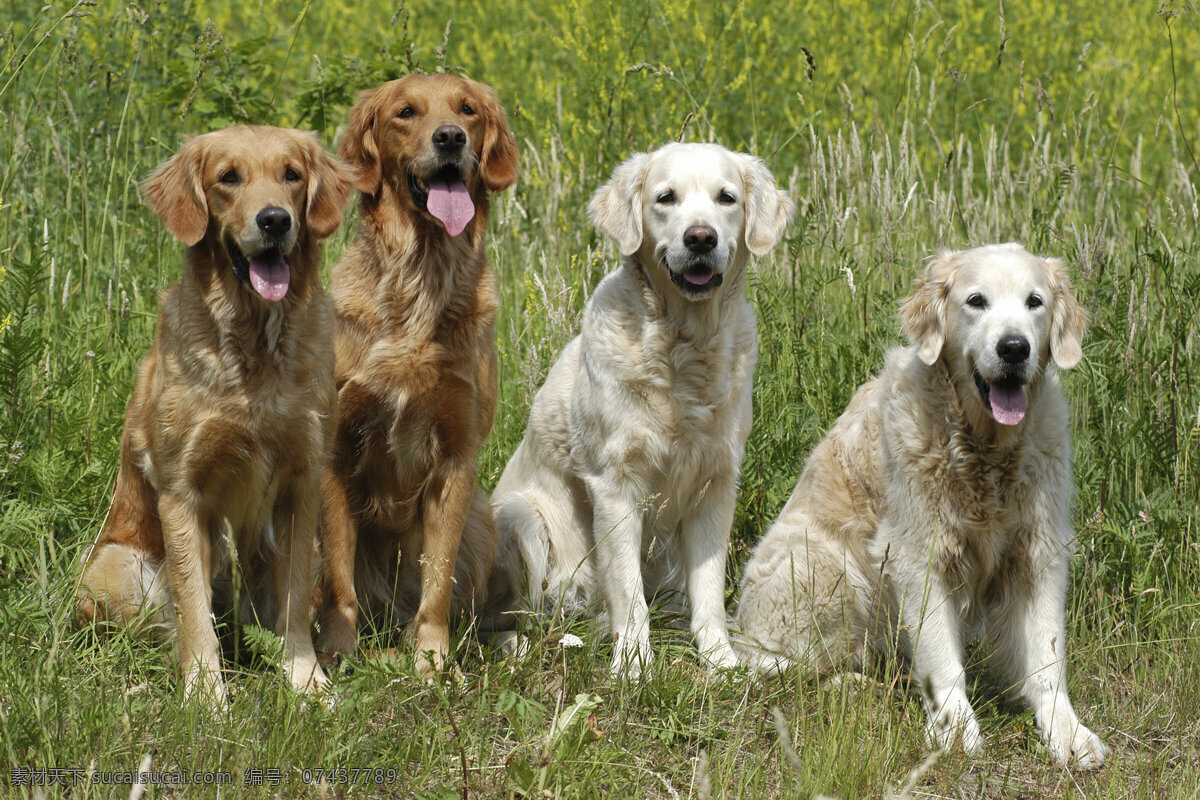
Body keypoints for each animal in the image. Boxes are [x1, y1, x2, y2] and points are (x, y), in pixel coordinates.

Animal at [75, 122, 352, 705]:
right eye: (228, 177)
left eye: (291, 174)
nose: (275, 220)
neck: (255, 345)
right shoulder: (182, 492)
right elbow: (193, 611)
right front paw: (205, 697)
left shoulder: (302, 484)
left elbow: (294, 603)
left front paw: (305, 681)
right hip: (118, 567)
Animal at [319, 74, 520, 676]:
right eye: (406, 112)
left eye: (468, 109)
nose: (450, 137)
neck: (421, 278)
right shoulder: (333, 453)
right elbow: (340, 582)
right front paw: (336, 654)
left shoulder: (456, 456)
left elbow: (437, 578)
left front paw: (431, 660)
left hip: (482, 521)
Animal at [492, 142, 792, 676]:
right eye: (666, 198)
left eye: (726, 198)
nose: (701, 238)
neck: (683, 348)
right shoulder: (615, 484)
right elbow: (629, 592)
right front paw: (633, 665)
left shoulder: (716, 482)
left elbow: (709, 588)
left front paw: (720, 659)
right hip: (519, 517)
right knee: (503, 619)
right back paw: (524, 649)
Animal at [734, 244, 1108, 767]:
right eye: (976, 301)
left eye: (1034, 301)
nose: (1014, 348)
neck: (984, 451)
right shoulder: (918, 555)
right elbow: (943, 658)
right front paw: (956, 730)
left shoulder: (1038, 550)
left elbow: (1047, 660)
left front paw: (1068, 734)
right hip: (827, 567)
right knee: (786, 666)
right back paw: (858, 685)